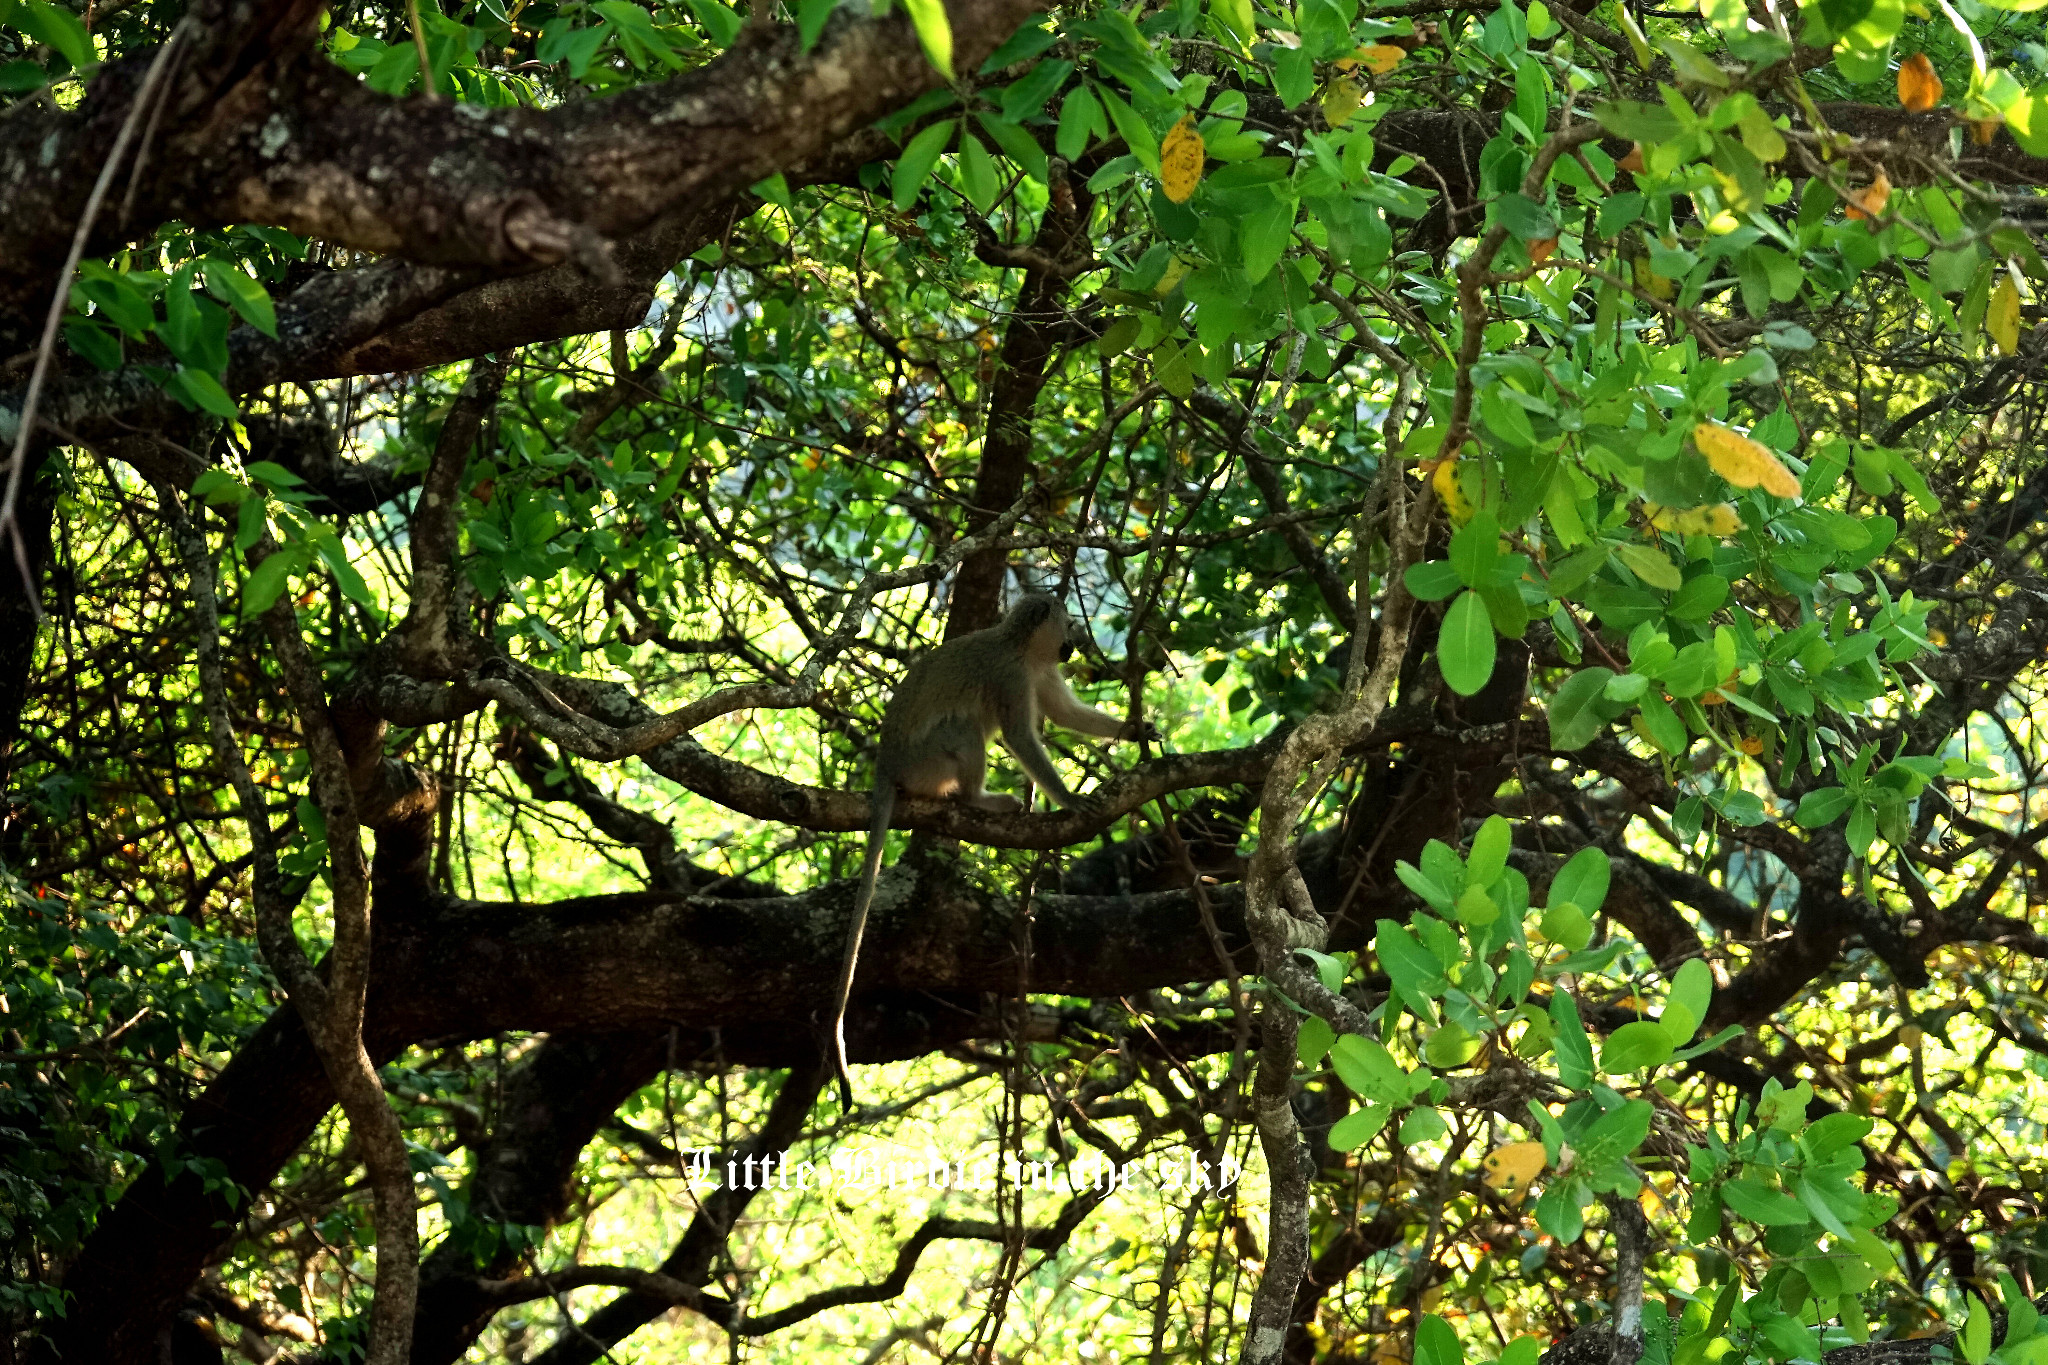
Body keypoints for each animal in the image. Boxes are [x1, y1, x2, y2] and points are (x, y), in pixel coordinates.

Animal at [827, 593, 1155, 1113]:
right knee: (963, 727)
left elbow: (1067, 715)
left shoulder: (1040, 671)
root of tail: (886, 767)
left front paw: (1135, 727)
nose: (1076, 640)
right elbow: (1021, 736)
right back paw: (976, 799)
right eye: (1069, 623)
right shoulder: (1011, 677)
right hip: (926, 762)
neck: (1019, 647)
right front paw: (1069, 799)